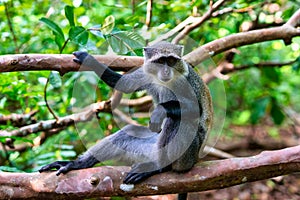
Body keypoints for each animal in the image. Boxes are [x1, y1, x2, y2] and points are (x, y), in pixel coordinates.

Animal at [39, 41, 213, 193]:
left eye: (170, 61)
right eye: (160, 61)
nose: (166, 71)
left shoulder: (183, 82)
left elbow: (194, 109)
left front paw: (159, 111)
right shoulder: (145, 72)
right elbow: (124, 84)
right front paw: (88, 59)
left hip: (187, 156)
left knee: (177, 120)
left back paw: (160, 166)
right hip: (150, 148)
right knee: (127, 133)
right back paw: (77, 164)